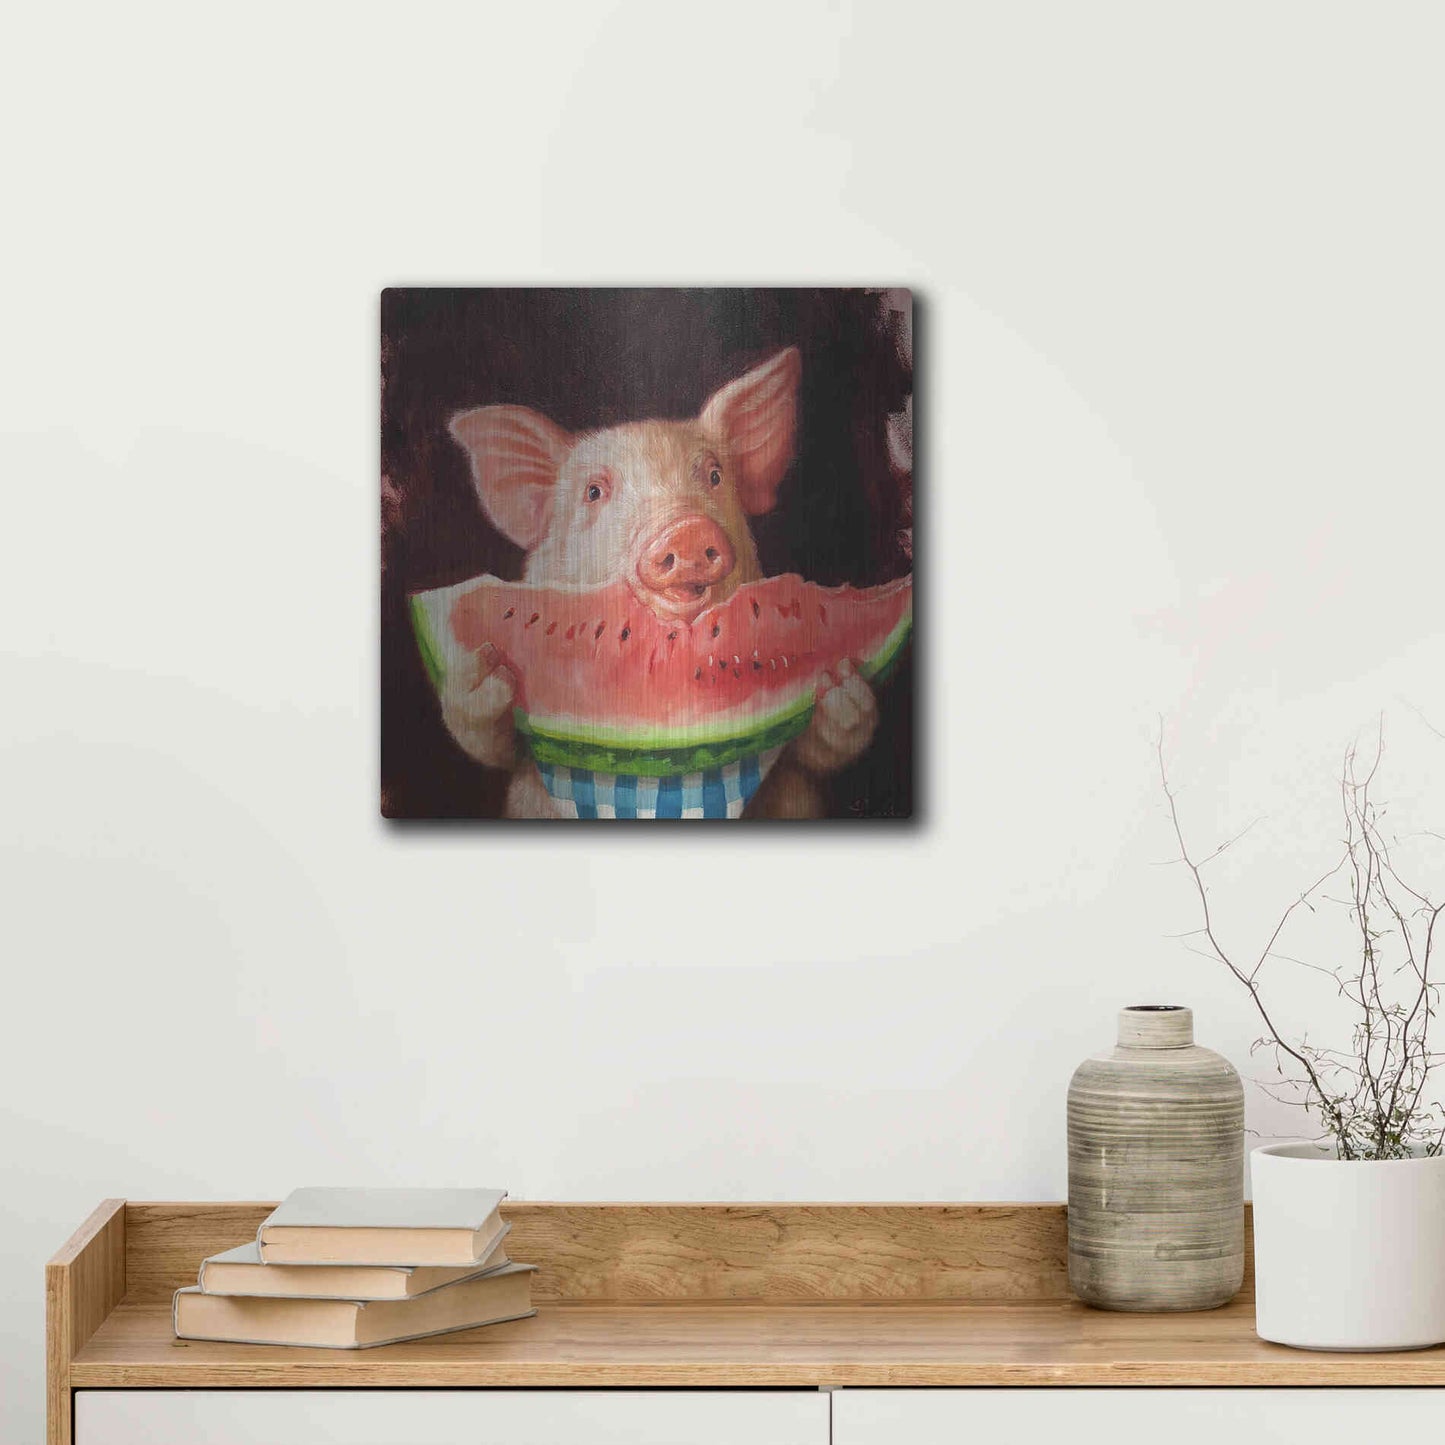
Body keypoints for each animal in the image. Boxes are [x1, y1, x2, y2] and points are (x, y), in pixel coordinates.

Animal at [440, 348, 879, 818]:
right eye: (594, 492)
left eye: (715, 476)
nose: (687, 530)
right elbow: (495, 744)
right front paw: (484, 669)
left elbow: (814, 747)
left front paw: (843, 684)